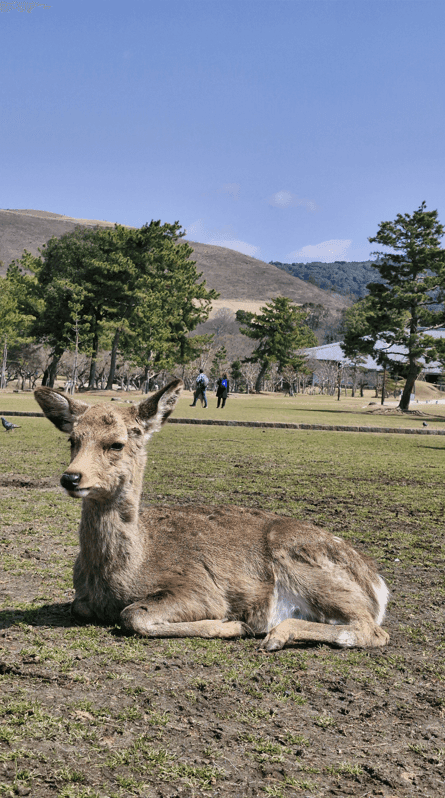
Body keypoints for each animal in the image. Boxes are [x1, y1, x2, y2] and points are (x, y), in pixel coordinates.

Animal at [34, 379, 390, 651]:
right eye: (73, 440)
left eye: (117, 444)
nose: (71, 477)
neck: (125, 573)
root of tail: (378, 584)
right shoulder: (82, 601)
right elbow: (79, 606)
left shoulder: (200, 589)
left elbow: (133, 615)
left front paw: (232, 625)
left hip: (308, 567)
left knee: (372, 630)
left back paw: (275, 634)